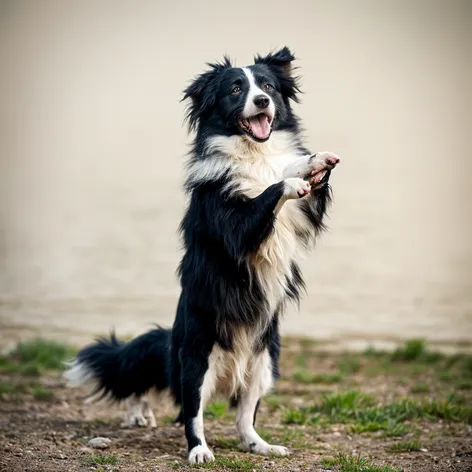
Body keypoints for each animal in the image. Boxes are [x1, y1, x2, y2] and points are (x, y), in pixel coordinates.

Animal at [64, 47, 342, 464]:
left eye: (268, 87)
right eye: (236, 89)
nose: (262, 102)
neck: (253, 150)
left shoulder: (302, 217)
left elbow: (293, 177)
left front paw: (315, 162)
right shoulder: (233, 224)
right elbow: (269, 191)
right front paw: (291, 181)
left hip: (266, 361)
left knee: (245, 416)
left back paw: (261, 445)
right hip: (197, 357)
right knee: (190, 412)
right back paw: (195, 449)